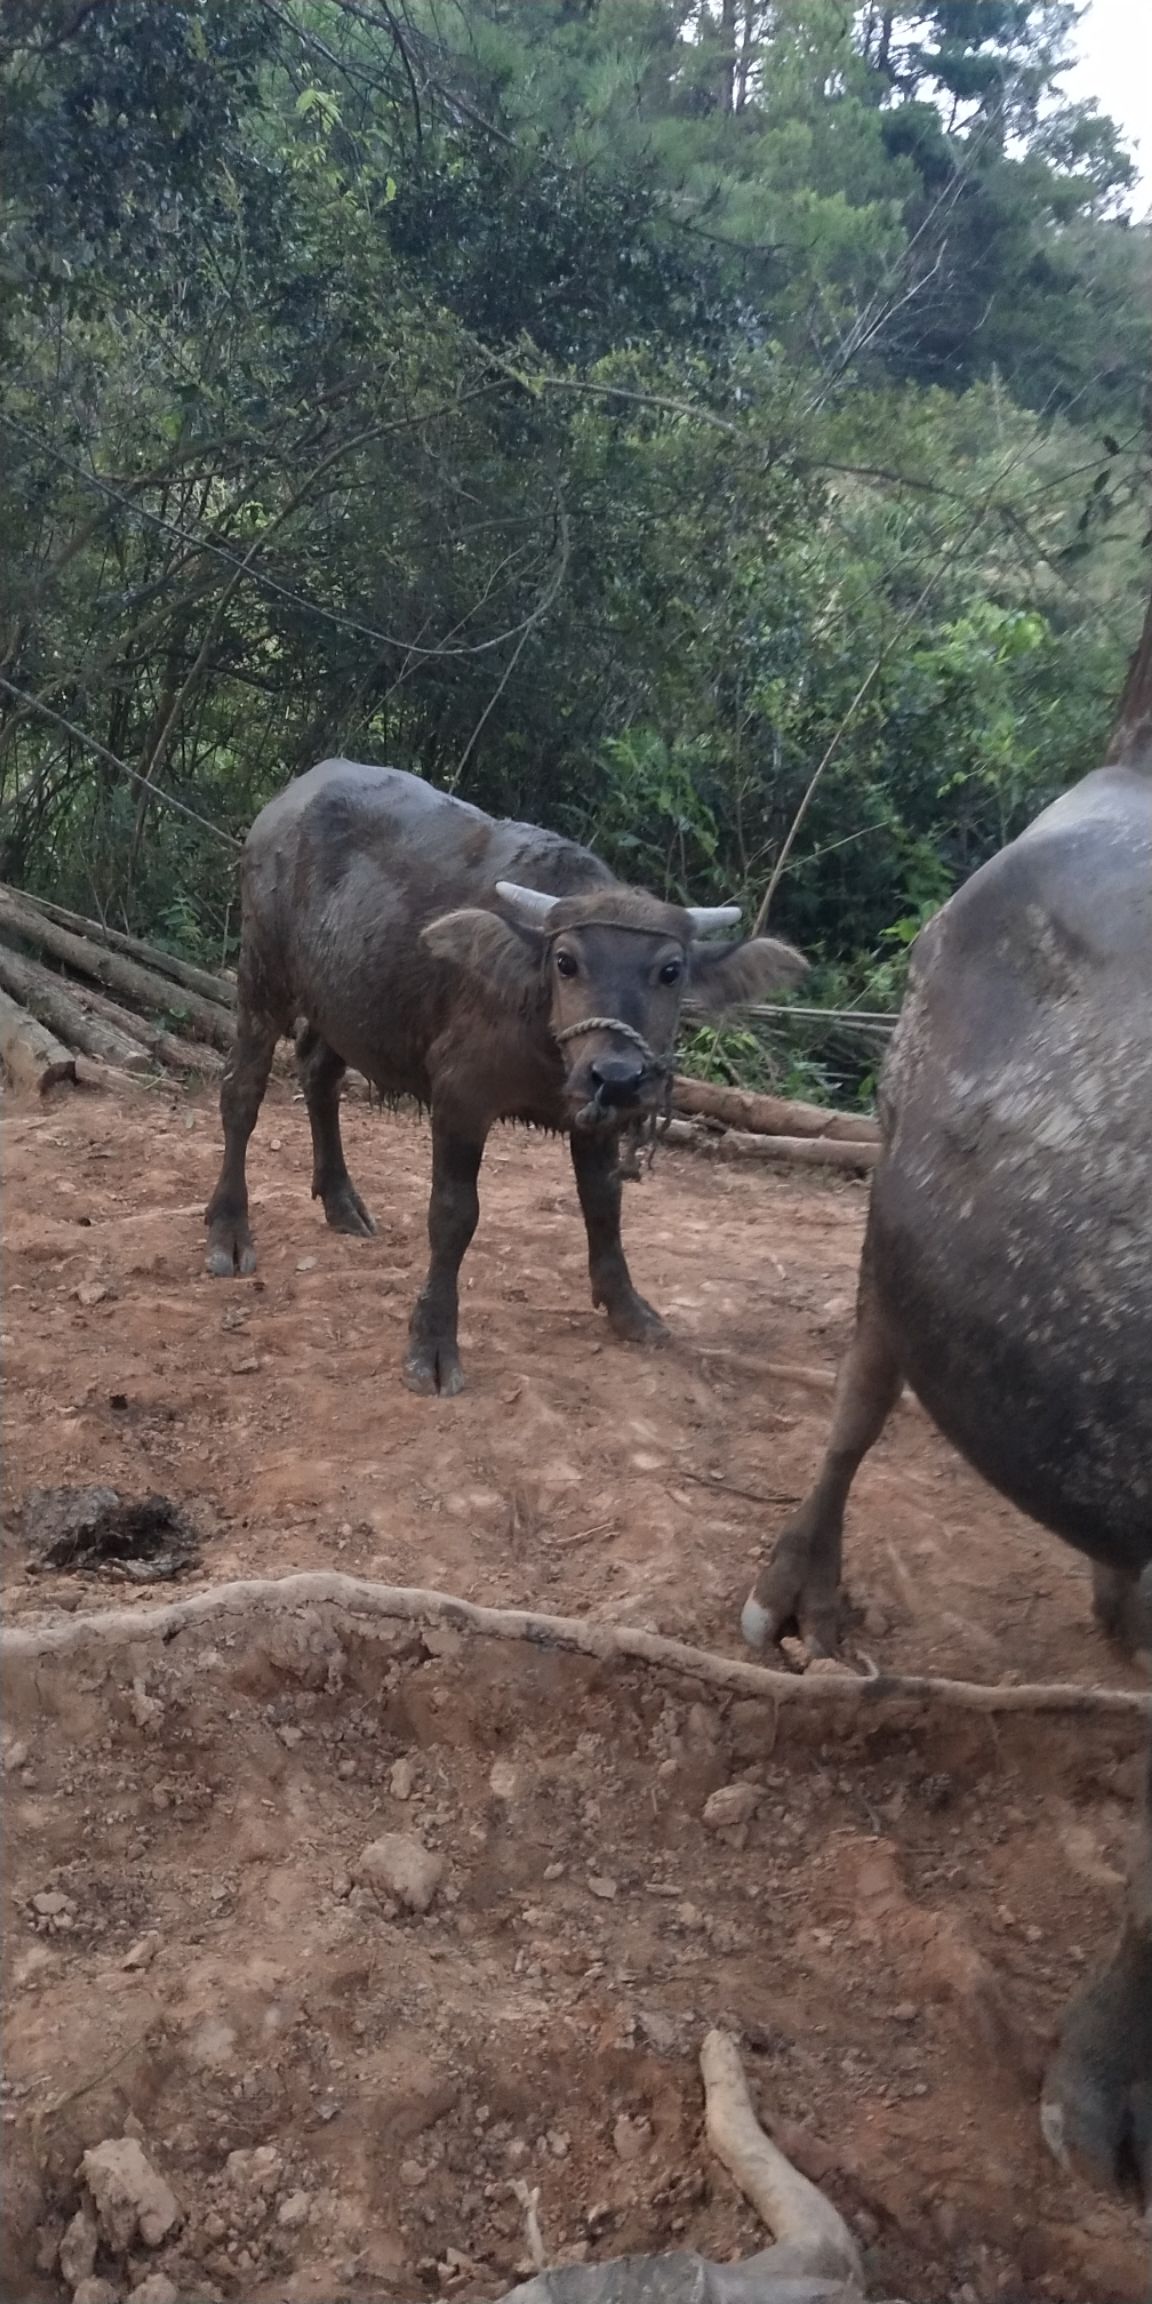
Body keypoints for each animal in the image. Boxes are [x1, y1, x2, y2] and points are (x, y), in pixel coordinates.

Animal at [205, 764, 801, 1391]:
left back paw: (343, 1203)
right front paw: (433, 1342)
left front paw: (628, 1307)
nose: (616, 1076)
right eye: (565, 961)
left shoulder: (596, 1119)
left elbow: (604, 1201)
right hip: (263, 973)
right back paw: (229, 1231)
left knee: (319, 1074)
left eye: (671, 970)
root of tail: (285, 802)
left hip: (346, 1001)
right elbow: (453, 1213)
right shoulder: (461, 1096)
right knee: (242, 1091)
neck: (542, 1026)